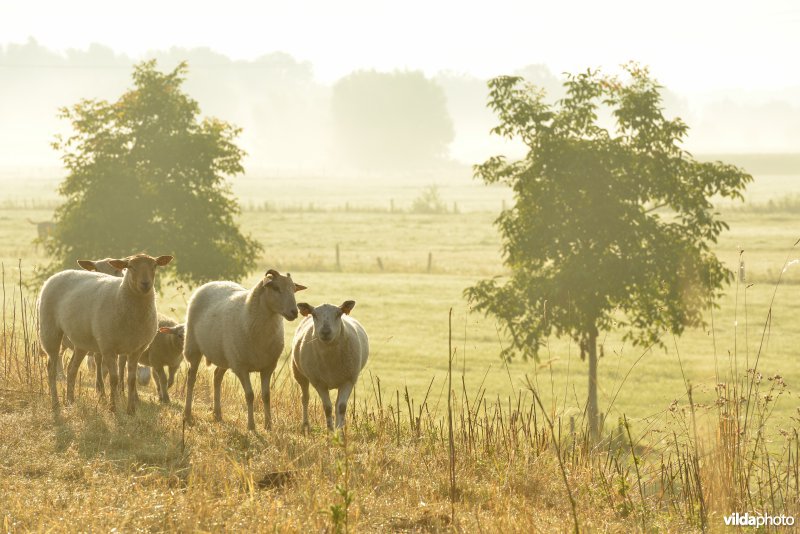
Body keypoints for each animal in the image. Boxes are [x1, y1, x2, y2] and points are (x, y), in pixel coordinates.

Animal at [36, 254, 173, 414]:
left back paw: (70, 401)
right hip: (49, 330)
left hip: (81, 341)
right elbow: (113, 378)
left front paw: (131, 410)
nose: (145, 284)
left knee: (71, 369)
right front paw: (112, 407)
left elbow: (131, 379)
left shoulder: (136, 349)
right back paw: (56, 404)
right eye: (130, 266)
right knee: (51, 368)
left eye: (155, 266)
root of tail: (57, 274)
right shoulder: (108, 346)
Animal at [184, 270, 306, 434]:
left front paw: (268, 425)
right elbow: (249, 395)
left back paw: (218, 414)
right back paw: (188, 413)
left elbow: (266, 396)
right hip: (193, 346)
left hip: (226, 355)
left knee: (217, 376)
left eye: (293, 289)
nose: (294, 312)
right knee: (191, 378)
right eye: (275, 288)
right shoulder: (241, 367)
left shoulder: (267, 367)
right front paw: (251, 426)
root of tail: (211, 283)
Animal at [292, 300, 370, 434]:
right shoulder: (319, 383)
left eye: (339, 314)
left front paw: (340, 433)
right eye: (314, 315)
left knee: (337, 404)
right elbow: (327, 407)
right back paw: (305, 425)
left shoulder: (349, 380)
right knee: (305, 398)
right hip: (299, 373)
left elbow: (341, 407)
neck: (330, 360)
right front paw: (330, 432)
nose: (325, 332)